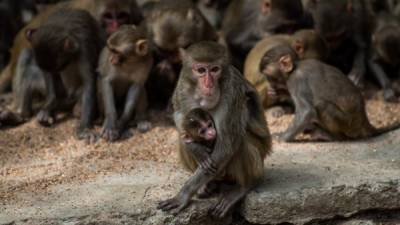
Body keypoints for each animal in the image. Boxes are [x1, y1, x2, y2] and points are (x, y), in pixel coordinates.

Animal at [157, 41, 272, 218]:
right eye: (201, 70)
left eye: (215, 69)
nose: (209, 84)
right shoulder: (183, 85)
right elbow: (180, 116)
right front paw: (196, 149)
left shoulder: (231, 92)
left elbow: (226, 144)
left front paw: (183, 194)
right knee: (182, 139)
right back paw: (207, 184)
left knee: (239, 140)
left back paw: (245, 185)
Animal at [260, 44, 398, 142]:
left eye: (269, 77)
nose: (270, 84)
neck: (295, 67)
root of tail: (364, 119)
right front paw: (278, 92)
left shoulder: (296, 80)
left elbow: (306, 112)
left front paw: (281, 138)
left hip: (349, 124)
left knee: (322, 105)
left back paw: (333, 137)